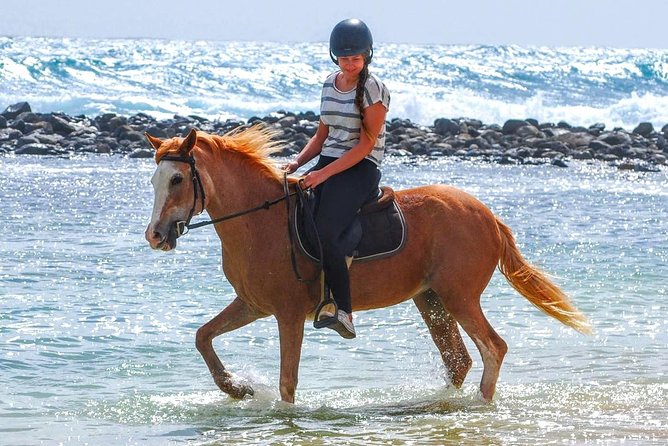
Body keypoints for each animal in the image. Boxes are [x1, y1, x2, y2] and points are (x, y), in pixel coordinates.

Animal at [144, 126, 591, 404]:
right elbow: (203, 337)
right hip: (431, 300)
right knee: (458, 360)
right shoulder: (252, 304)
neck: (260, 219)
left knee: (493, 349)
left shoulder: (287, 313)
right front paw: (237, 389)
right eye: (154, 181)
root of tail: (489, 217)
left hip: (459, 296)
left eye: (177, 180)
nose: (155, 235)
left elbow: (288, 383)